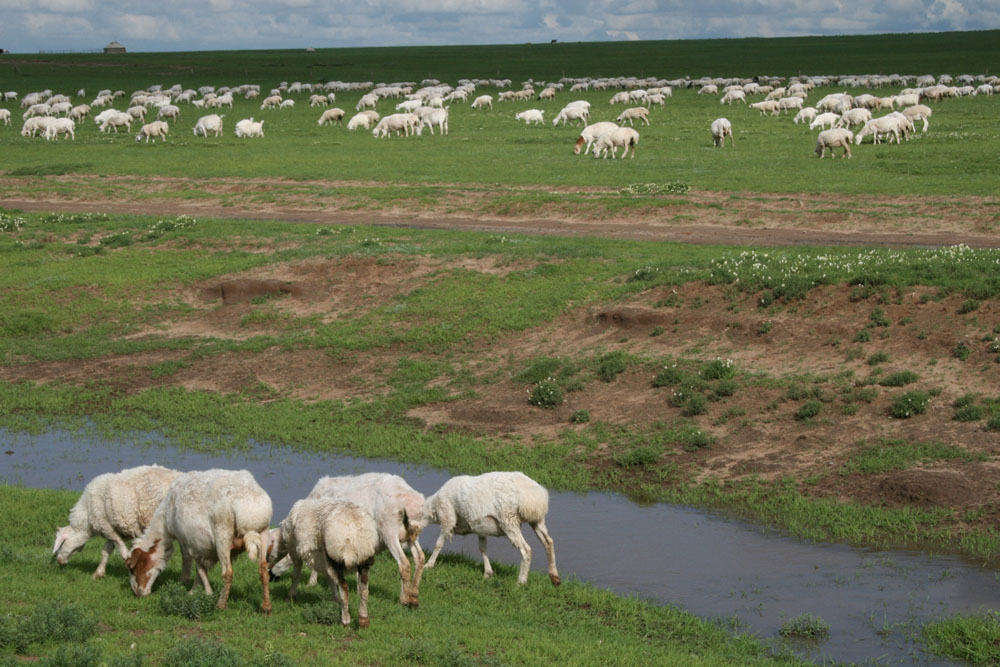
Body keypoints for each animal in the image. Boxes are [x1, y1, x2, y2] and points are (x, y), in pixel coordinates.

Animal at [52, 464, 183, 580]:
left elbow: (121, 550)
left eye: (61, 544)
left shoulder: (106, 526)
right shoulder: (113, 528)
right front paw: (98, 573)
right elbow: (106, 550)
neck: (86, 518)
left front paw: (129, 564)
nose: (59, 561)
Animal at [125, 468, 274, 612]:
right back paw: (266, 607)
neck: (165, 523)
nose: (137, 593)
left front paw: (201, 591)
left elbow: (198, 568)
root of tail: (249, 512)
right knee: (263, 570)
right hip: (263, 533)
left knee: (227, 573)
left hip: (223, 533)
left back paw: (220, 605)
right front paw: (198, 591)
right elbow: (200, 569)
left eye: (133, 569)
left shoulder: (191, 543)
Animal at [268, 500, 380, 628]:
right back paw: (363, 619)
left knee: (344, 588)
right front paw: (335, 599)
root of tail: (355, 535)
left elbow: (295, 575)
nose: (268, 573)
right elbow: (331, 581)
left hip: (335, 556)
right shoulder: (323, 560)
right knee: (364, 589)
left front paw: (290, 597)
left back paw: (345, 619)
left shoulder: (295, 551)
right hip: (364, 559)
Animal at [416, 472, 564, 588]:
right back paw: (554, 577)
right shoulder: (480, 528)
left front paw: (429, 564)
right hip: (537, 520)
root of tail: (535, 496)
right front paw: (488, 572)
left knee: (526, 550)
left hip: (508, 519)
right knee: (548, 542)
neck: (433, 508)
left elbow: (439, 544)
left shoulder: (448, 518)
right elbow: (482, 548)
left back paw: (521, 581)